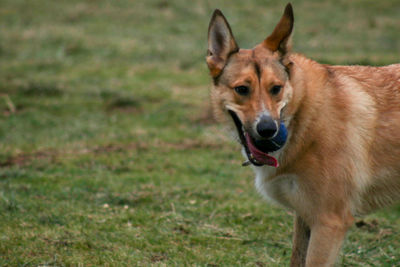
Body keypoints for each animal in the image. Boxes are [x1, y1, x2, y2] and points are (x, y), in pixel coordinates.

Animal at [206, 3, 400, 266]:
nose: (268, 129)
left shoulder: (329, 222)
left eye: (276, 89)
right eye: (242, 90)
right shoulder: (305, 215)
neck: (303, 117)